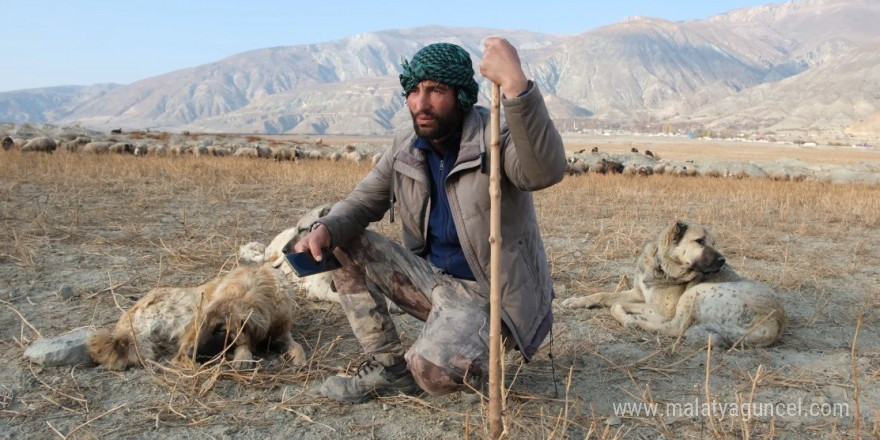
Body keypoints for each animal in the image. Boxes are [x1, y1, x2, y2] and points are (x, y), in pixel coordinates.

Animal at [560, 222, 788, 348]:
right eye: (700, 241)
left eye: (714, 243)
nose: (723, 261)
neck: (662, 266)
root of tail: (776, 322)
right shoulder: (638, 293)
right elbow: (603, 295)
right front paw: (576, 301)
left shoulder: (662, 308)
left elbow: (617, 304)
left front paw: (625, 314)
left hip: (696, 293)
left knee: (675, 327)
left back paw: (635, 321)